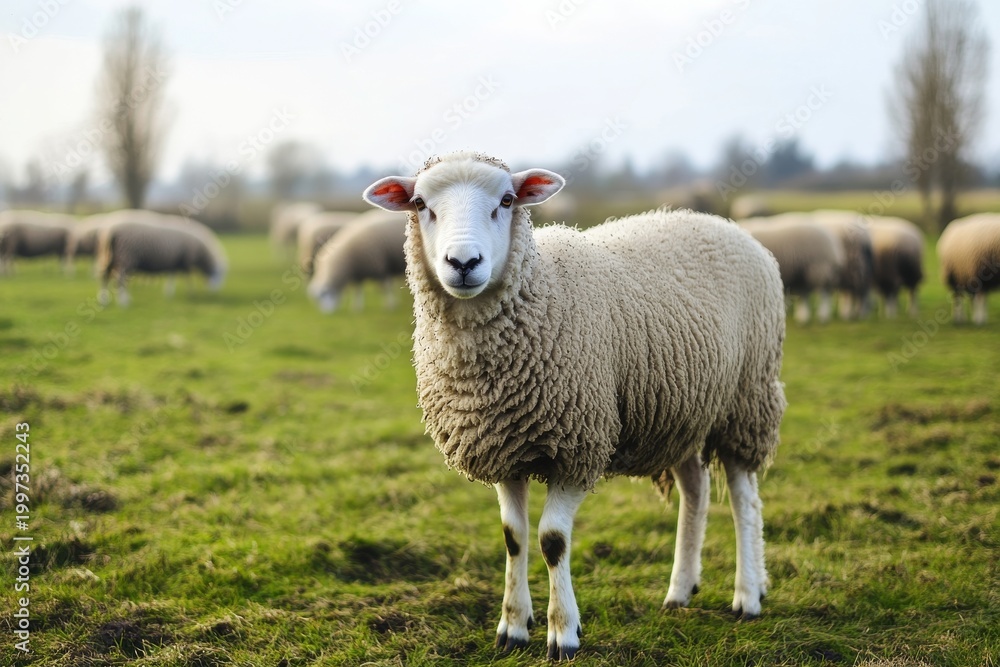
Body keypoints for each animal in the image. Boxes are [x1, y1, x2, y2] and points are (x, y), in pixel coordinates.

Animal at [96, 213, 227, 307]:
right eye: (218, 273)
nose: (215, 292)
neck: (202, 252)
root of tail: (111, 231)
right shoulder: (186, 260)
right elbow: (188, 278)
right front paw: (191, 294)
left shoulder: (175, 260)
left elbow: (172, 276)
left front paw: (169, 293)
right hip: (125, 256)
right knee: (119, 280)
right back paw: (124, 302)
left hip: (109, 255)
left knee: (104, 276)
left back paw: (103, 300)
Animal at [364, 152, 786, 661]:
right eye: (420, 203)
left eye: (507, 201)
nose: (463, 262)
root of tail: (727, 226)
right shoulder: (503, 446)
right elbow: (514, 538)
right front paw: (512, 628)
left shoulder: (577, 443)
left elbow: (552, 540)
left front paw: (563, 633)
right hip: (681, 411)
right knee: (696, 491)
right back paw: (680, 590)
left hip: (746, 399)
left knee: (745, 497)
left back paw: (748, 595)